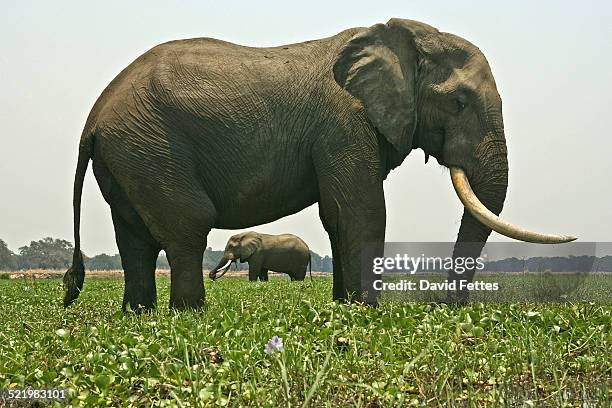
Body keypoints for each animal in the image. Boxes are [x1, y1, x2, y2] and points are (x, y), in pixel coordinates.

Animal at [63, 15, 572, 310]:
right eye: (460, 102)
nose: (443, 310)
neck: (401, 39)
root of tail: (94, 116)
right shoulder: (344, 122)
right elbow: (362, 210)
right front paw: (366, 313)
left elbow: (337, 216)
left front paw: (345, 309)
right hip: (152, 147)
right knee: (186, 226)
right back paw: (190, 314)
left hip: (130, 155)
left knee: (134, 240)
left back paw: (140, 314)